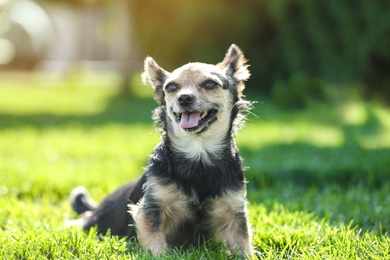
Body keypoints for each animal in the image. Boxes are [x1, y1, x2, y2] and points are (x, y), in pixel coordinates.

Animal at [68, 43, 254, 256]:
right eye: (171, 87)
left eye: (209, 84)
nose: (184, 98)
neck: (198, 154)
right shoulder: (151, 209)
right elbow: (155, 245)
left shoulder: (234, 211)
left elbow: (243, 246)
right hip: (98, 223)